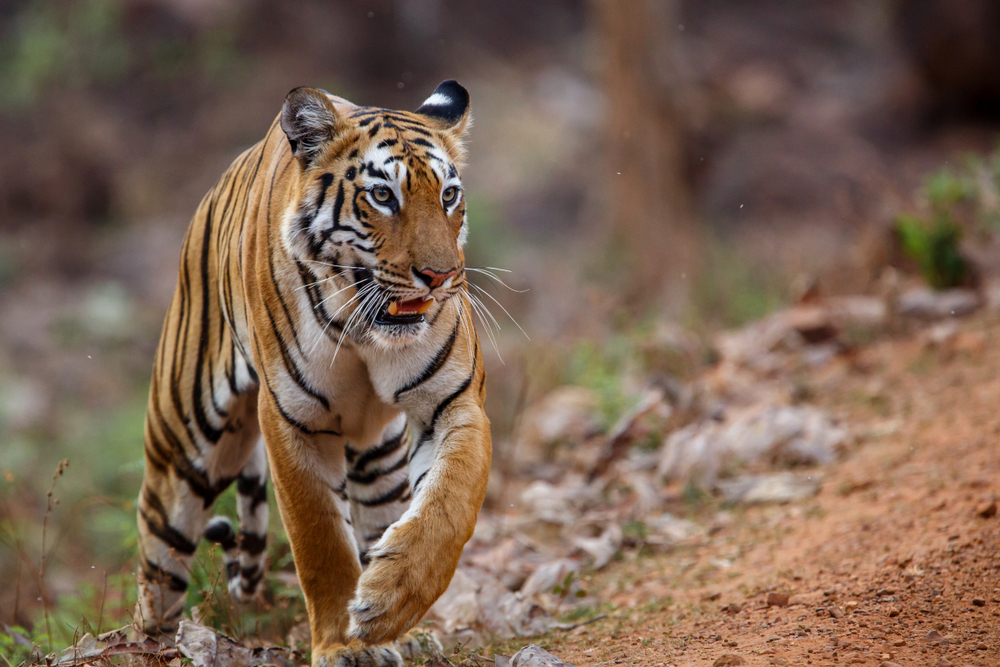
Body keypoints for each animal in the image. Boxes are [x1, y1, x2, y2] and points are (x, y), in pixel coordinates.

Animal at [133, 81, 492, 664]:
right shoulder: (292, 421)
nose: (441, 278)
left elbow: (449, 505)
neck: (367, 331)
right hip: (182, 446)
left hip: (379, 458)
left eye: (448, 197)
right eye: (383, 196)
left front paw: (388, 604)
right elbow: (319, 540)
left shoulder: (454, 403)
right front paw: (341, 644)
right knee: (157, 564)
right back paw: (151, 645)